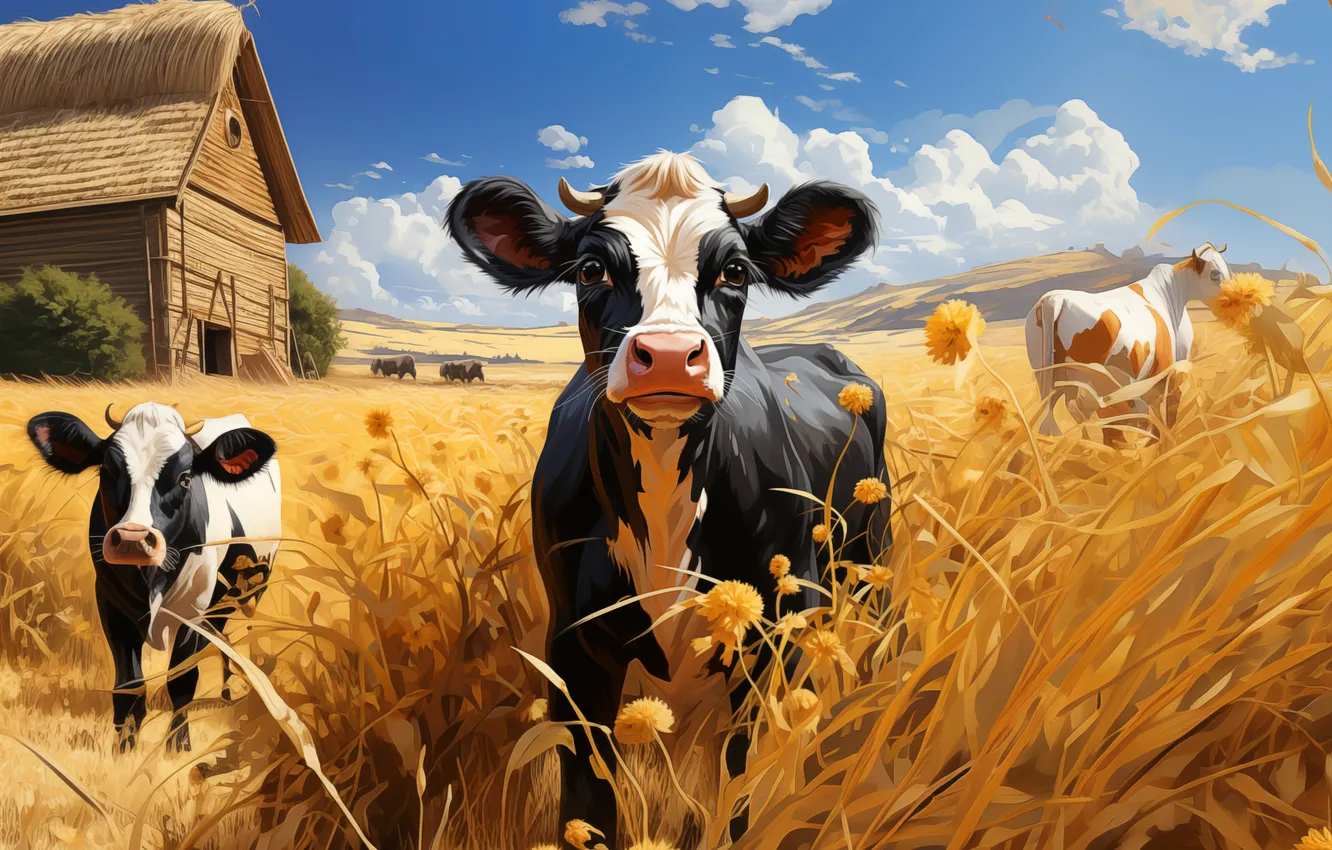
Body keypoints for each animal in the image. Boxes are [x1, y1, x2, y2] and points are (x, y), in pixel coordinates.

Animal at [26, 403, 280, 753]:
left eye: (185, 478)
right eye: (105, 473)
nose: (133, 539)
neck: (150, 582)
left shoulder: (193, 608)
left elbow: (182, 680)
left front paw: (179, 745)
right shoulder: (110, 602)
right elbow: (129, 685)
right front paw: (124, 747)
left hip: (242, 591)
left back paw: (229, 694)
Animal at [446, 151, 889, 841]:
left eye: (735, 270)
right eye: (592, 268)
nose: (671, 357)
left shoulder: (778, 629)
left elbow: (744, 780)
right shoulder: (572, 645)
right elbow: (589, 798)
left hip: (872, 551)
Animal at [1025, 242, 1233, 444]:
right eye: (1215, 274)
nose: (1233, 300)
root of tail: (1056, 298)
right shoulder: (1167, 372)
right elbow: (1164, 411)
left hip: (1053, 376)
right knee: (1094, 413)